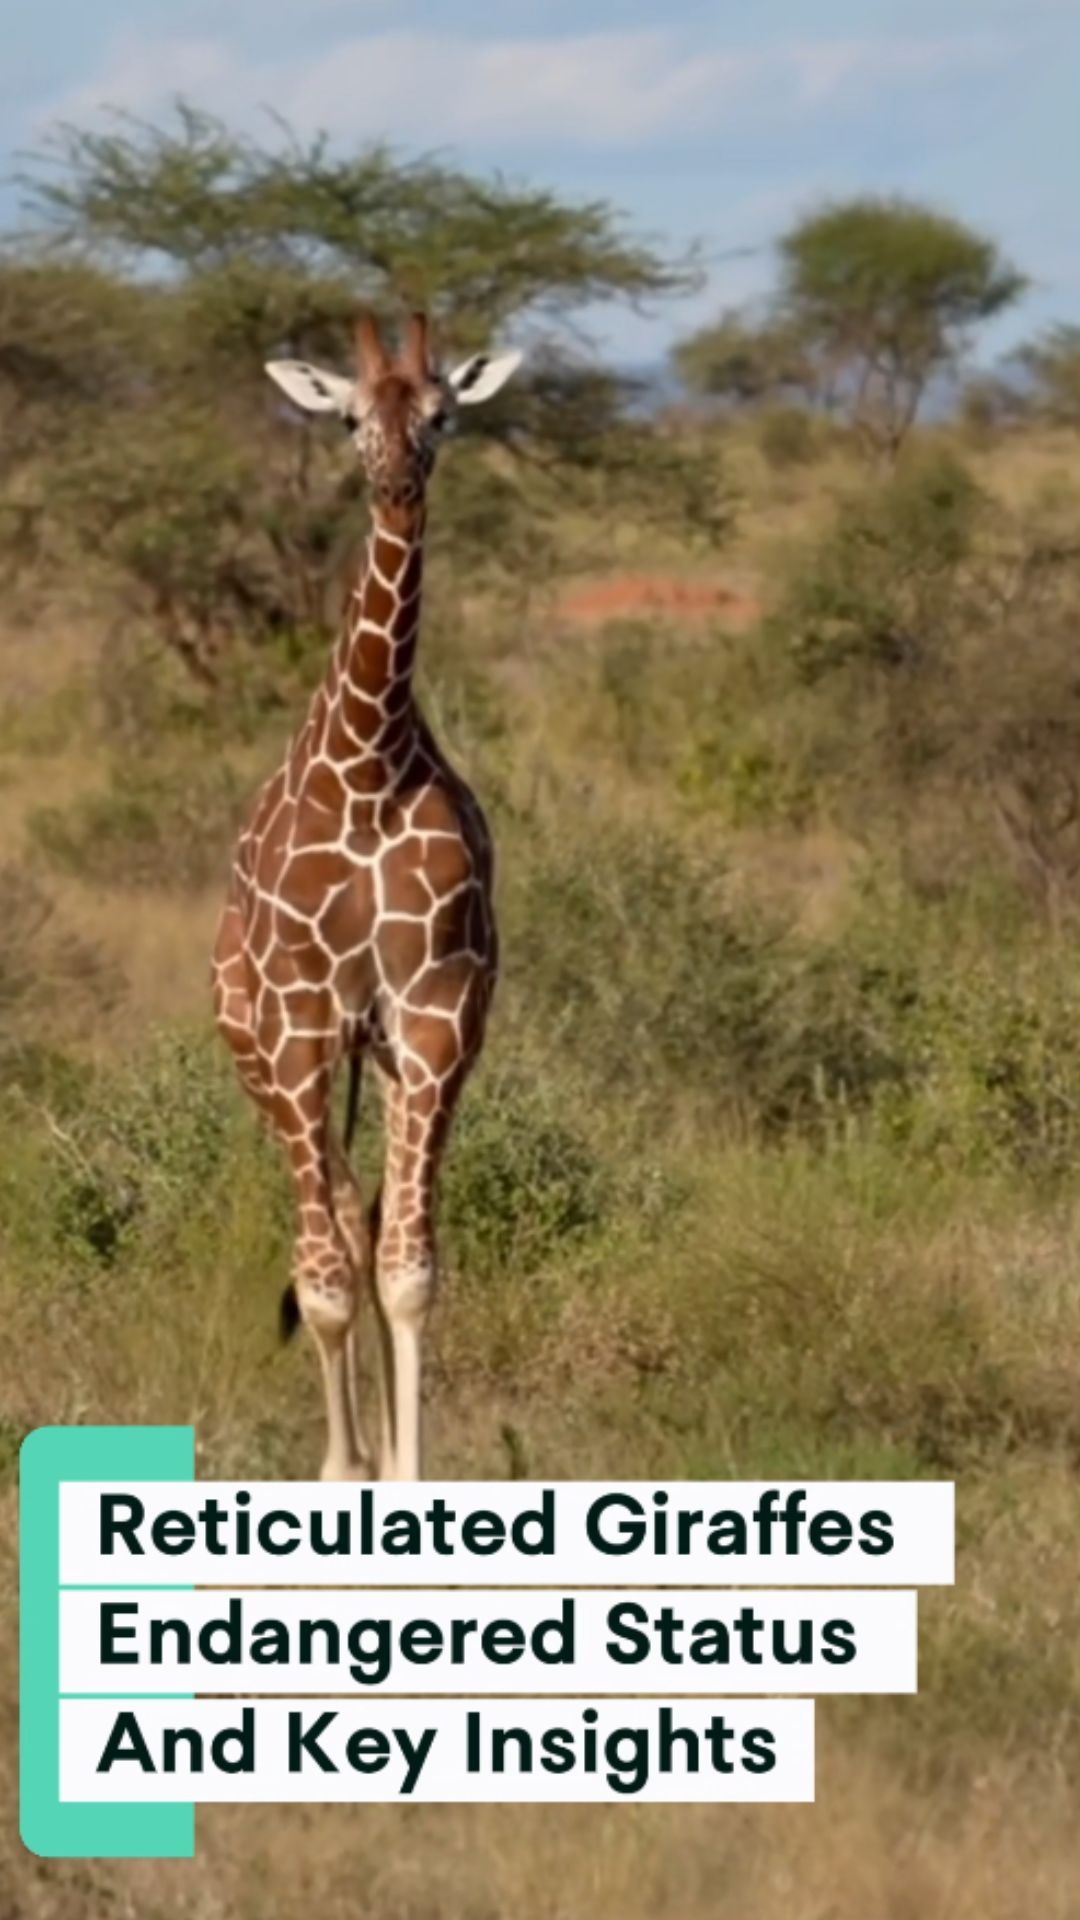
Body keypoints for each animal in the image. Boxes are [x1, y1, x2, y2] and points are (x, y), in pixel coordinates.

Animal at [211, 310, 522, 1482]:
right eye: (348, 417)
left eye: (442, 413)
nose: (395, 479)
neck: (371, 761)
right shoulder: (301, 1024)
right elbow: (331, 1281)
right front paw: (345, 1475)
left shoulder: (435, 1018)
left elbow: (407, 1270)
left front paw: (403, 1472)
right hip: (261, 1057)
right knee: (333, 1227)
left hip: (380, 1057)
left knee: (370, 1215)